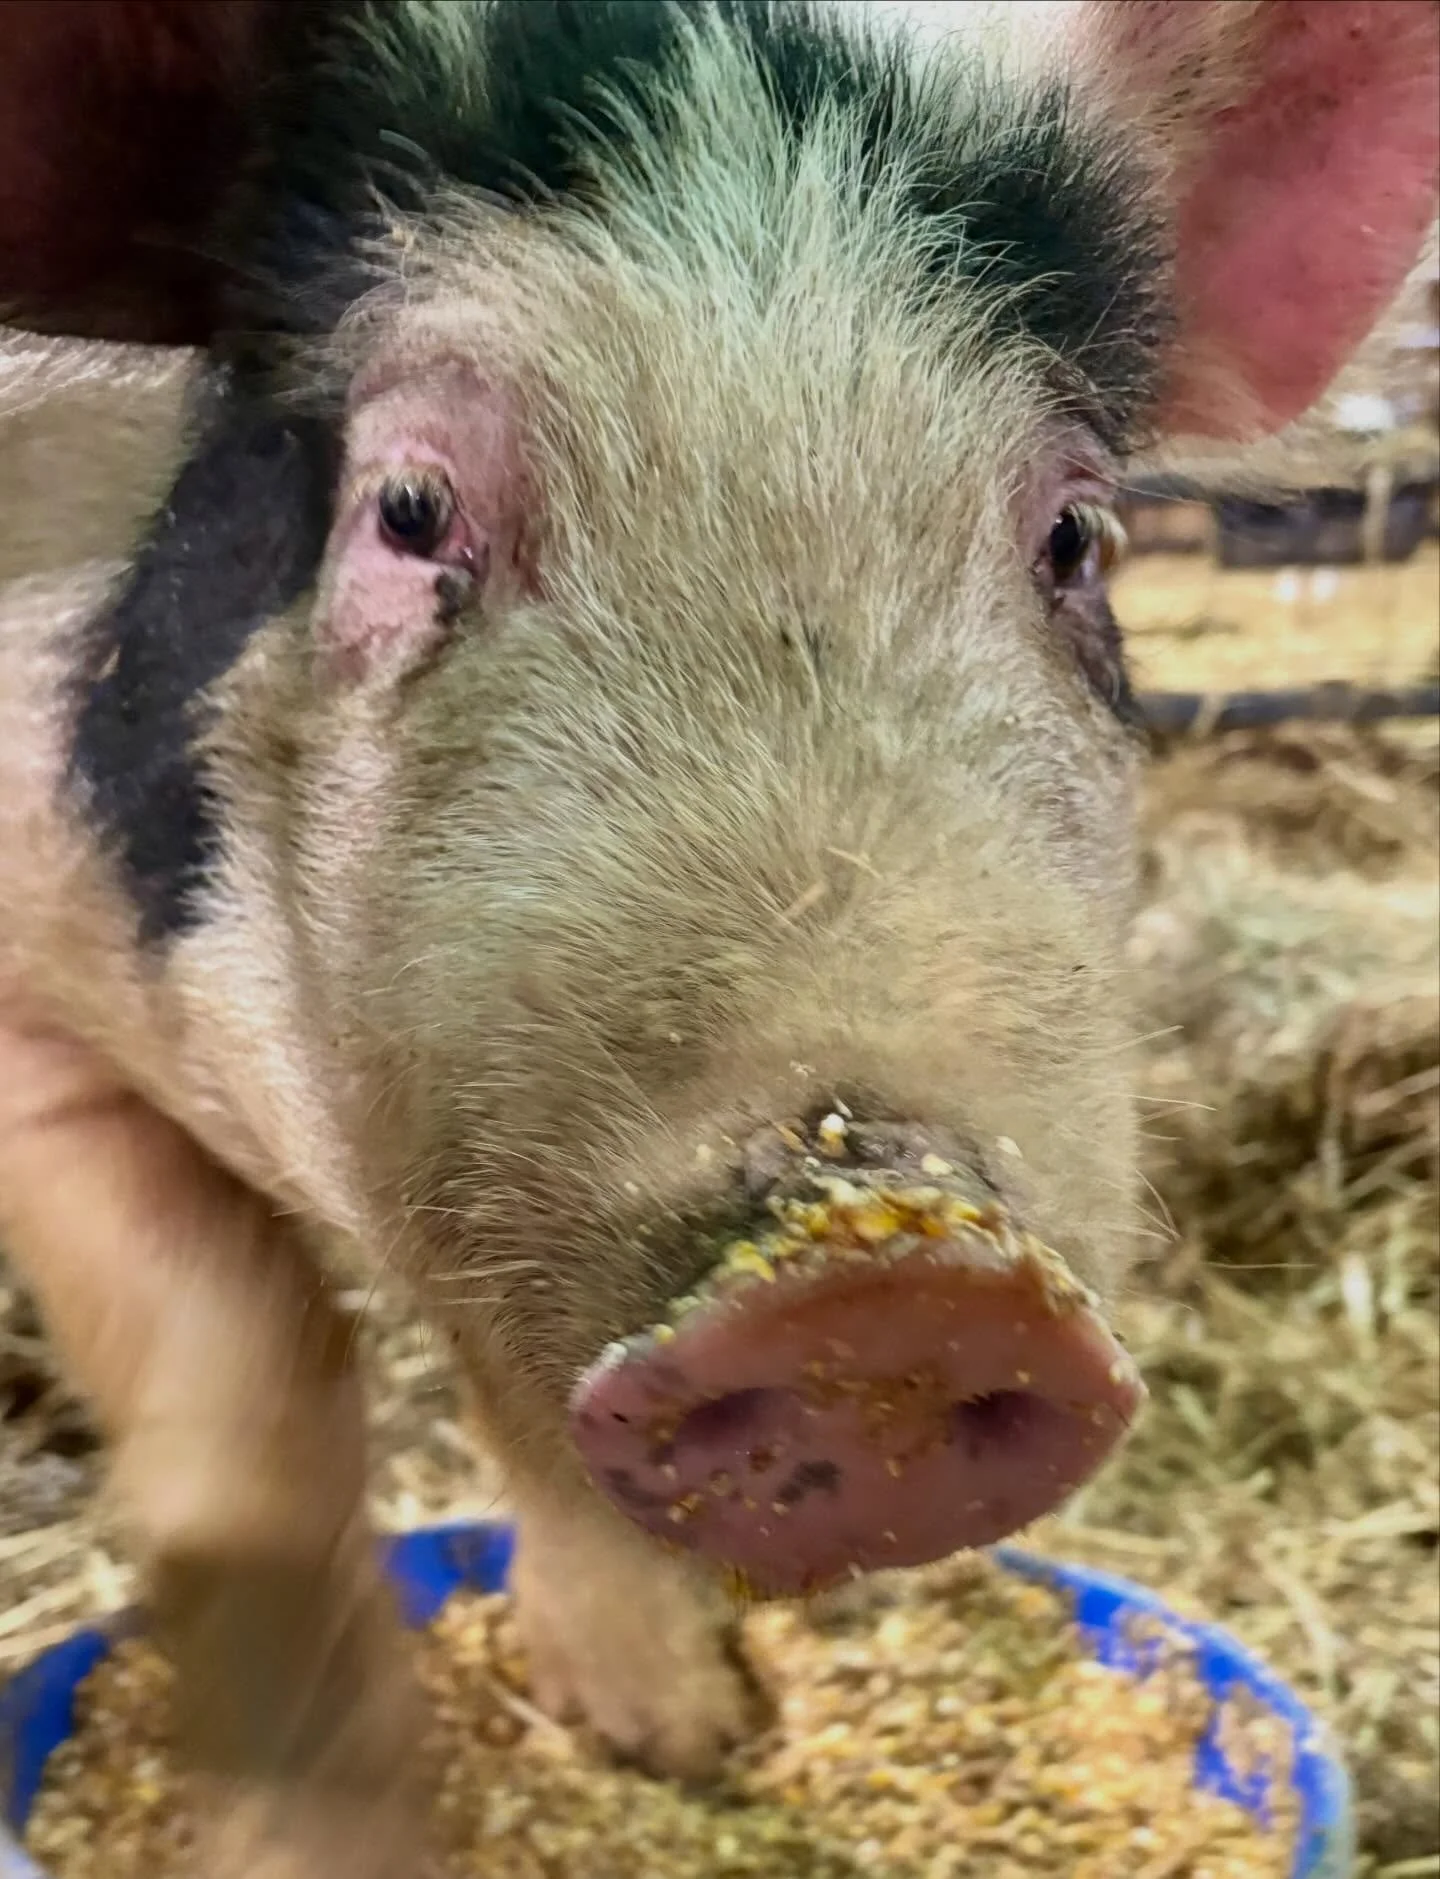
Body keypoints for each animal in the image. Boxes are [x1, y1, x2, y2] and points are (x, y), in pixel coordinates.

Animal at [1, 1, 1435, 1873]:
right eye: (406, 508)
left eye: (1076, 538)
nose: (899, 1283)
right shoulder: (35, 1008)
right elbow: (243, 1408)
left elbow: (509, 1382)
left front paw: (681, 1737)